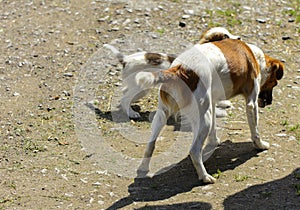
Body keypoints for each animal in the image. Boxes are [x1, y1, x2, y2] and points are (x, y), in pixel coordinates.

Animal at [104, 26, 240, 118]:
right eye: (225, 36)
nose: (239, 38)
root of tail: (125, 59)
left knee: (125, 94)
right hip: (140, 88)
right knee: (125, 98)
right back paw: (131, 113)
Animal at [135, 38, 284, 183]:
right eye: (274, 83)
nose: (270, 102)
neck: (254, 57)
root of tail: (178, 70)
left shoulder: (211, 103)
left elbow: (214, 130)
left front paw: (214, 142)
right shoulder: (251, 103)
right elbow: (255, 131)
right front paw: (260, 145)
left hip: (162, 115)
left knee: (150, 145)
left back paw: (143, 167)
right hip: (203, 120)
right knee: (194, 151)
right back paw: (205, 176)